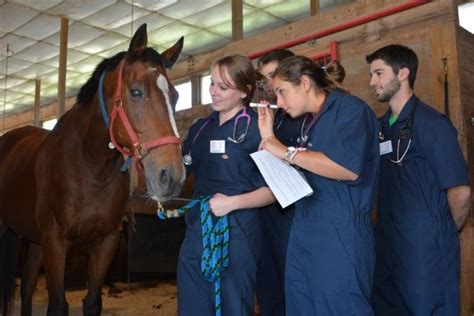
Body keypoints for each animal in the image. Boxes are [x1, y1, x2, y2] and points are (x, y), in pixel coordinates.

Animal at [0, 23, 185, 314]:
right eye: (135, 91)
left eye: (175, 96)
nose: (172, 176)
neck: (89, 167)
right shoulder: (55, 240)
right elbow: (58, 304)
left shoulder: (105, 242)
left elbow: (93, 302)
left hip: (34, 240)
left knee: (27, 286)